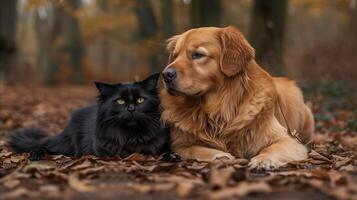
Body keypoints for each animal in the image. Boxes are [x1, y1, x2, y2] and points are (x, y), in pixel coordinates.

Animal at [9, 72, 175, 160]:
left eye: (140, 100)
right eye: (120, 101)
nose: (131, 109)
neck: (131, 135)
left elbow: (164, 151)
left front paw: (172, 157)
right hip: (65, 146)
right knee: (48, 146)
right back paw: (36, 154)